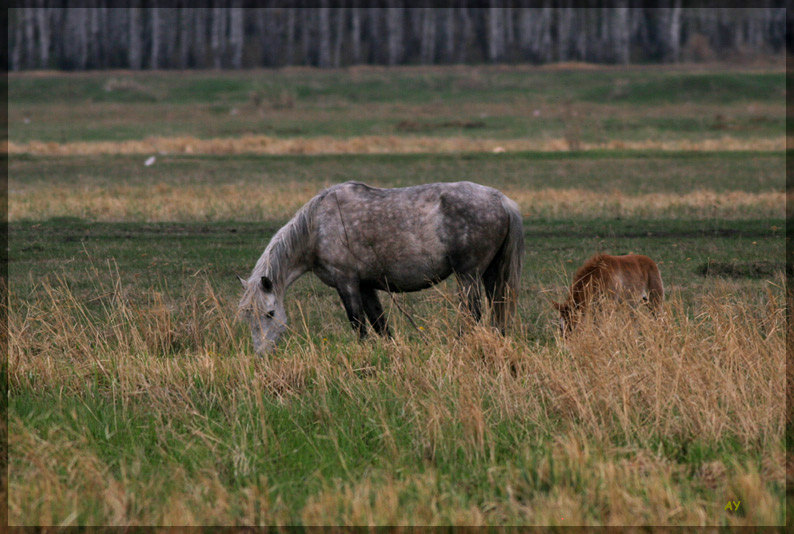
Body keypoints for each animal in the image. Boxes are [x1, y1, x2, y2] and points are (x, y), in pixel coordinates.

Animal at [237, 181, 520, 356]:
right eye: (249, 316)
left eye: (270, 313)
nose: (262, 355)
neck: (317, 228)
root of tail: (502, 200)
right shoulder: (366, 286)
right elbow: (380, 325)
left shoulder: (347, 283)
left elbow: (359, 325)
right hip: (490, 273)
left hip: (468, 276)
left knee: (472, 314)